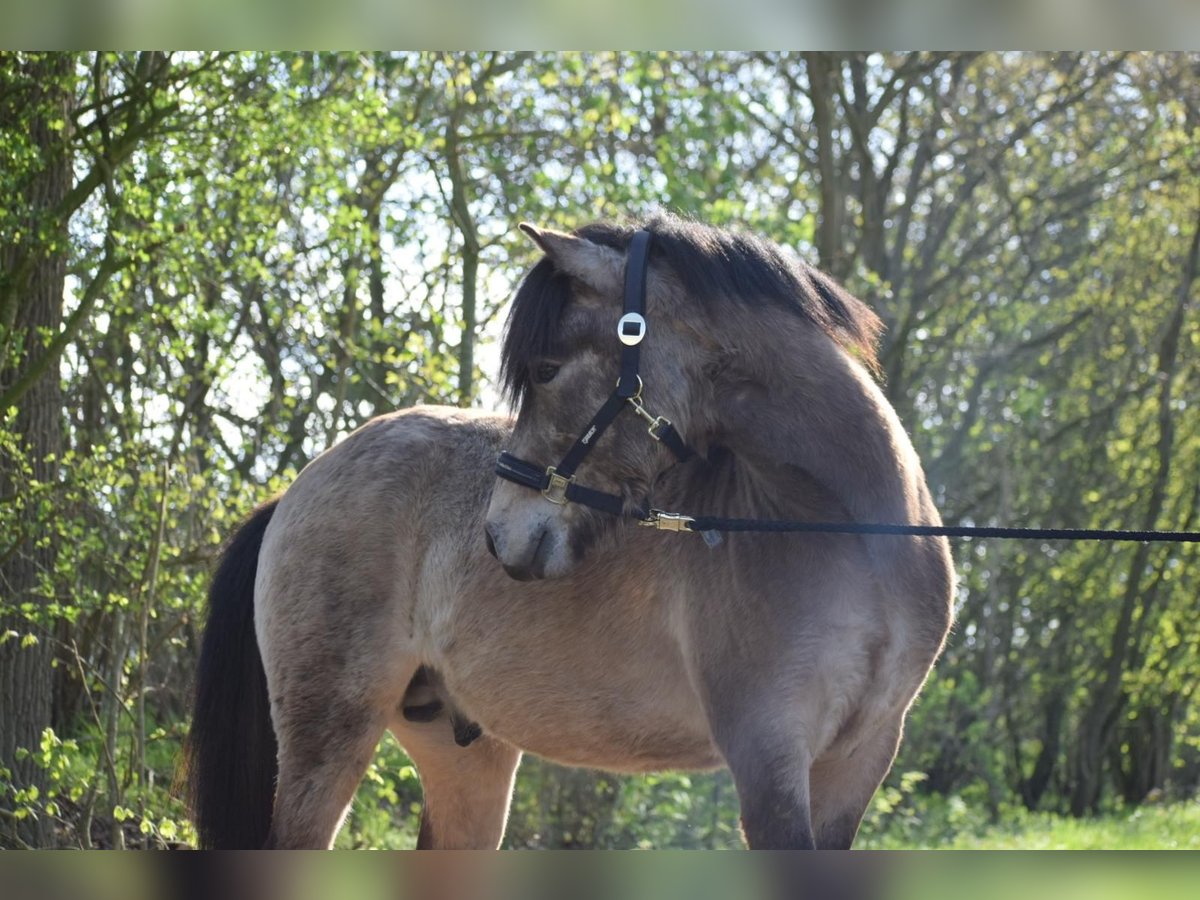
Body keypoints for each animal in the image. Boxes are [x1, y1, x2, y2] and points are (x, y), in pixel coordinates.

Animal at [184, 213, 955, 854]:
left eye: (548, 368)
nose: (500, 535)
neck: (851, 538)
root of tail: (296, 489)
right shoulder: (768, 755)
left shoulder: (859, 760)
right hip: (330, 733)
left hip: (464, 754)